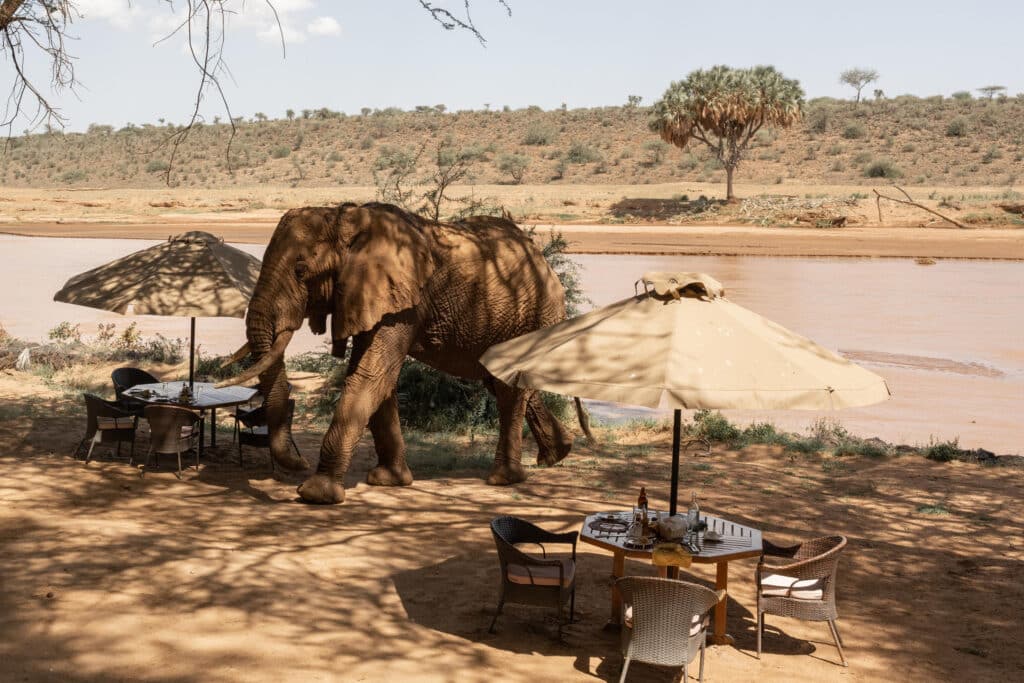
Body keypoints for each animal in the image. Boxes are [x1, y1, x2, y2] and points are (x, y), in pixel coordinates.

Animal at [218, 202, 581, 504]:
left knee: (508, 390)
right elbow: (379, 379)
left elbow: (371, 374)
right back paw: (556, 454)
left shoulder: (401, 301)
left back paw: (505, 479)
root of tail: (542, 259)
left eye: (301, 270)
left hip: (529, 316)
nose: (299, 461)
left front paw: (315, 494)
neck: (346, 216)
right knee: (501, 383)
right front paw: (388, 481)